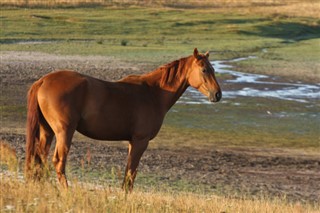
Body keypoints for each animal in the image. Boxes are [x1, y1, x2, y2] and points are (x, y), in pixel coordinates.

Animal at [25, 47, 220, 190]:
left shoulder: (132, 142)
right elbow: (131, 175)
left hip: (47, 131)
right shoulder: (140, 141)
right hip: (64, 132)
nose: (218, 94)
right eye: (204, 70)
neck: (153, 93)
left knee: (39, 158)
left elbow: (128, 174)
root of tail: (43, 80)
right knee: (58, 161)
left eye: (213, 69)